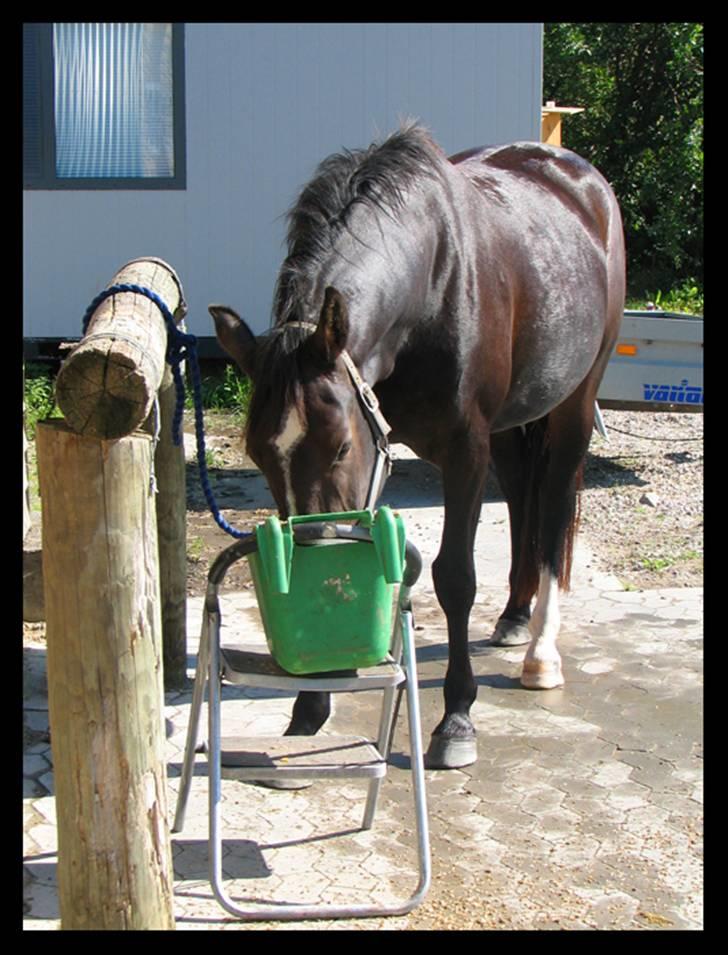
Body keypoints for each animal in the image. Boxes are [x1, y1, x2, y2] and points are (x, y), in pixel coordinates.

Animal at [208, 125, 624, 768]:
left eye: (338, 447)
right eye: (259, 456)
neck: (431, 283)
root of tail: (581, 180)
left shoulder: (464, 450)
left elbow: (455, 577)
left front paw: (456, 719)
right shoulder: (387, 445)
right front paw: (315, 700)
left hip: (574, 405)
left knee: (553, 508)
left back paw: (540, 654)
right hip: (510, 428)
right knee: (523, 498)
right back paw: (514, 614)